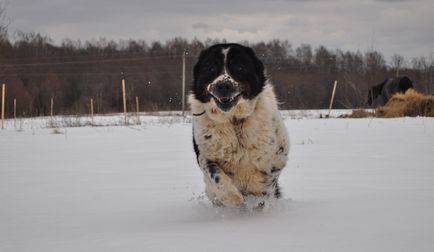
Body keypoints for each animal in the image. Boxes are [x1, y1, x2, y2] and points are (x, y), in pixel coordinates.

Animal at [189, 43, 288, 209]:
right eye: (210, 68)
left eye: (240, 67)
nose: (223, 85)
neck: (234, 121)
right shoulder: (205, 154)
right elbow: (214, 174)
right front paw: (232, 198)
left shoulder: (278, 155)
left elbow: (267, 182)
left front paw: (258, 200)